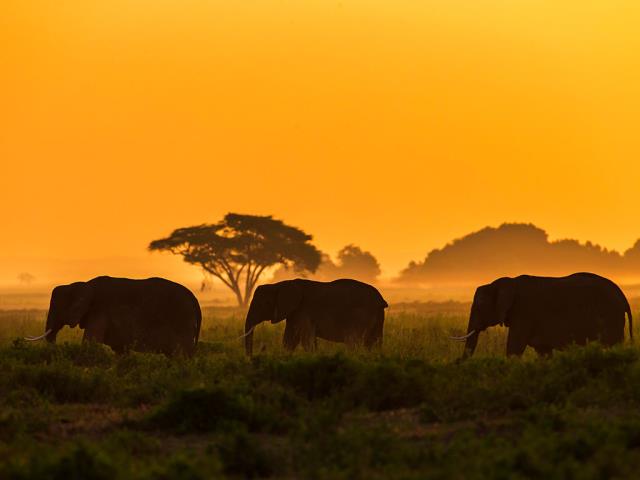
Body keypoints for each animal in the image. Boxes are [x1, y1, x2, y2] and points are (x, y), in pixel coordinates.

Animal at [25, 276, 202, 356]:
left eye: (57, 306)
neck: (82, 284)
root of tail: (194, 299)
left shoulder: (99, 312)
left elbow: (90, 342)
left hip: (182, 319)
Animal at [244, 279, 388, 355]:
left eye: (264, 304)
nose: (251, 358)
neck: (280, 284)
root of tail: (380, 299)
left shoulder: (303, 311)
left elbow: (306, 340)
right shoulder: (294, 313)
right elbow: (289, 340)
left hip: (361, 315)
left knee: (353, 341)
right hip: (378, 316)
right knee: (374, 341)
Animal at [453, 272, 633, 358]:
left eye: (480, 305)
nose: (456, 363)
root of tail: (622, 296)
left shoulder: (524, 313)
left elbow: (514, 349)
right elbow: (543, 352)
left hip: (611, 315)